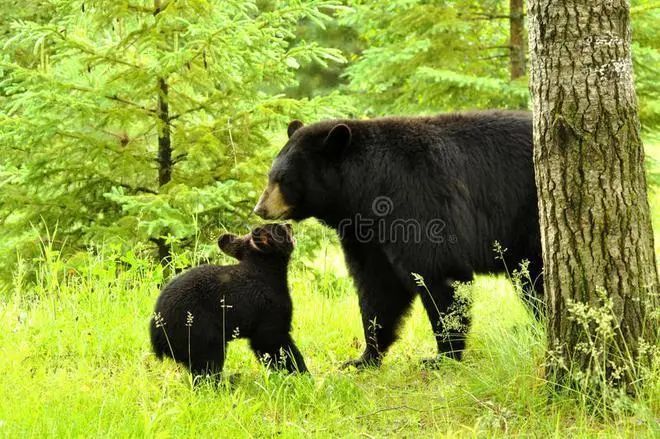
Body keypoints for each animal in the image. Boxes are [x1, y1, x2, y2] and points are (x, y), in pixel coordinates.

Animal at [150, 225, 306, 376]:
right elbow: (274, 343)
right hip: (199, 333)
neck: (264, 270)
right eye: (282, 229)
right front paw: (300, 373)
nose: (290, 225)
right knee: (207, 365)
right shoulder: (269, 311)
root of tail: (157, 336)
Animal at [254, 111, 540, 370]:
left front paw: (443, 355)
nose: (260, 209)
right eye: (270, 175)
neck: (366, 191)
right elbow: (379, 287)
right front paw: (364, 357)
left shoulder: (417, 199)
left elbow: (438, 271)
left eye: (283, 179)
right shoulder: (366, 233)